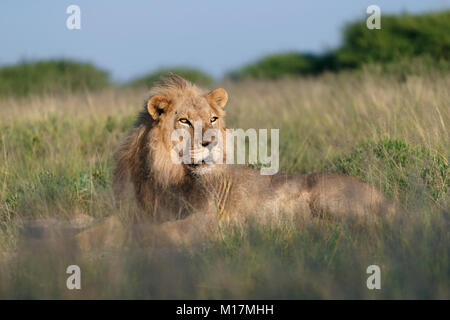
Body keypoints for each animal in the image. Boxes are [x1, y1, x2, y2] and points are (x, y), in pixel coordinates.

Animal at [113, 74, 400, 231]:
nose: (212, 142)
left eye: (213, 119)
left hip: (329, 198)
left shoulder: (208, 219)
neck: (166, 173)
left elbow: (160, 233)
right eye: (184, 121)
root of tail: (385, 197)